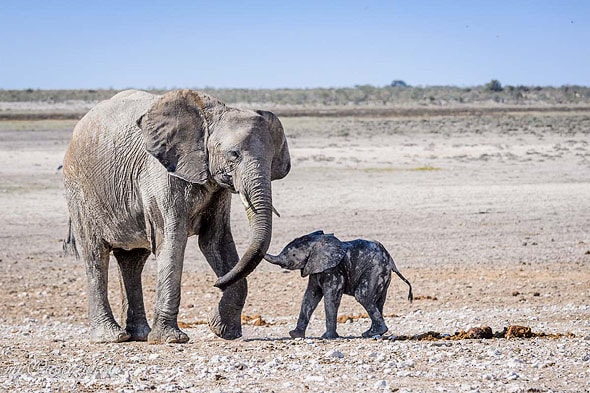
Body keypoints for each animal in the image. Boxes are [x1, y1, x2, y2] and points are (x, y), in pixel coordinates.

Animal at [64, 89, 292, 344]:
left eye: (272, 160)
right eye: (233, 155)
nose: (215, 284)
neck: (208, 117)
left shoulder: (216, 186)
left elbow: (215, 241)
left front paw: (224, 332)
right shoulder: (161, 174)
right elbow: (173, 240)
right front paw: (171, 339)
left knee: (132, 261)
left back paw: (139, 335)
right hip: (80, 191)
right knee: (95, 255)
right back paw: (111, 337)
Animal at [266, 230, 414, 336]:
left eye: (293, 255)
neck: (317, 242)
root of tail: (391, 261)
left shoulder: (333, 269)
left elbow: (331, 298)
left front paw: (328, 337)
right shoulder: (315, 267)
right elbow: (310, 296)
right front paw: (294, 335)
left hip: (376, 270)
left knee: (363, 296)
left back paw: (376, 332)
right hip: (383, 276)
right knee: (378, 301)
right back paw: (371, 333)